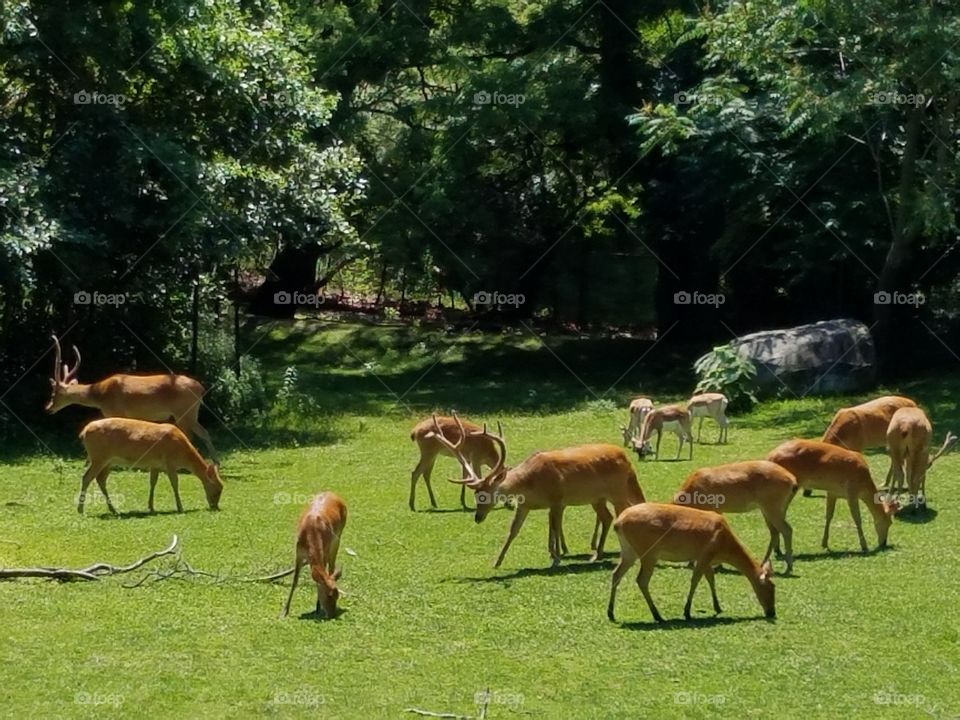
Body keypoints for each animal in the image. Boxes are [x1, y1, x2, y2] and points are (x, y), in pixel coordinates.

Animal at [46, 334, 219, 463]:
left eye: (54, 393)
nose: (48, 408)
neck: (101, 395)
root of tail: (201, 388)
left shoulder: (116, 411)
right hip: (191, 413)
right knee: (204, 432)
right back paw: (216, 462)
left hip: (183, 412)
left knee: (191, 434)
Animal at [78, 417, 223, 514]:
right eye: (218, 489)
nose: (215, 507)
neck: (183, 455)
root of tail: (84, 432)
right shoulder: (170, 462)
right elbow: (175, 483)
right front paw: (180, 507)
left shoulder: (155, 465)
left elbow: (153, 483)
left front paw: (151, 507)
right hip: (99, 457)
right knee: (86, 477)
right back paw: (80, 509)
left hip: (108, 461)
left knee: (100, 479)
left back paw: (113, 509)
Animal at [428, 415, 646, 568]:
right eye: (475, 494)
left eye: (486, 494)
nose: (478, 517)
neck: (531, 483)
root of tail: (626, 459)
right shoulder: (525, 505)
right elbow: (514, 530)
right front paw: (497, 561)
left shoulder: (557, 499)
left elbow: (555, 527)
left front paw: (556, 557)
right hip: (597, 498)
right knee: (608, 517)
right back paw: (596, 554)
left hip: (617, 491)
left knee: (621, 512)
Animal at [607, 503, 775, 623]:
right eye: (771, 589)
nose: (772, 612)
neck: (725, 548)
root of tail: (618, 523)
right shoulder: (705, 555)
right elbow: (695, 580)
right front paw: (687, 612)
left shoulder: (705, 559)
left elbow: (711, 579)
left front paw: (718, 607)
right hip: (648, 552)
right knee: (641, 580)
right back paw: (658, 616)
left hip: (629, 551)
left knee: (616, 574)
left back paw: (611, 613)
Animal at [767, 439, 899, 553]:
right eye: (889, 522)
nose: (884, 543)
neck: (863, 486)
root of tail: (770, 457)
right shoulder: (852, 492)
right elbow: (857, 518)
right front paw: (864, 546)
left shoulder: (832, 492)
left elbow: (829, 515)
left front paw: (824, 543)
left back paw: (777, 548)